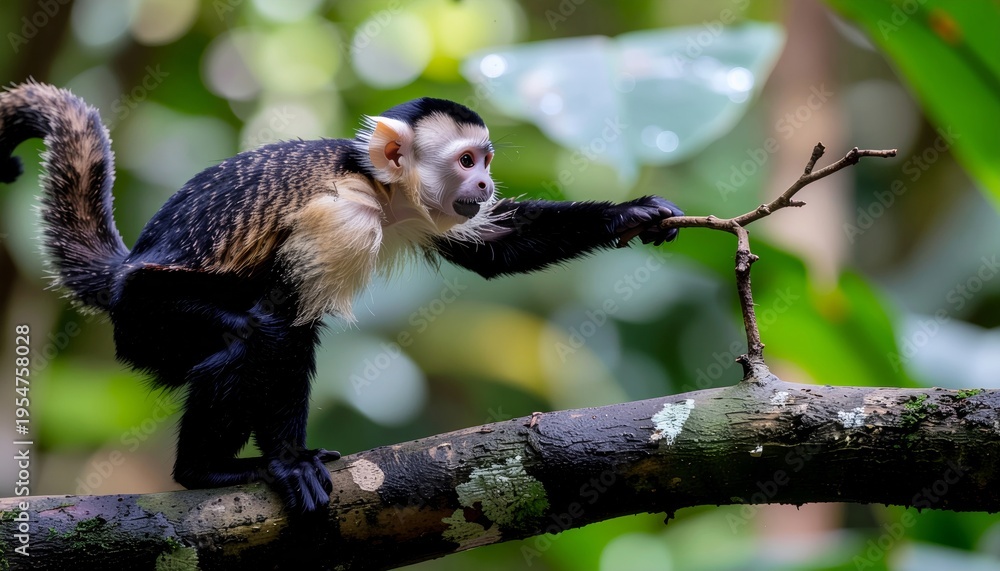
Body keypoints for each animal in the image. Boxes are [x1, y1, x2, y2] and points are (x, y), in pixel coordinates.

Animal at [0, 82, 682, 515]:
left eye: (485, 161)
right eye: (467, 160)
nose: (486, 184)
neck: (376, 184)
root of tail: (122, 274)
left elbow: (496, 251)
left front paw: (634, 214)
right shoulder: (339, 219)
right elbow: (283, 325)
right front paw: (286, 462)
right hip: (147, 316)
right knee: (253, 334)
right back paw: (203, 471)